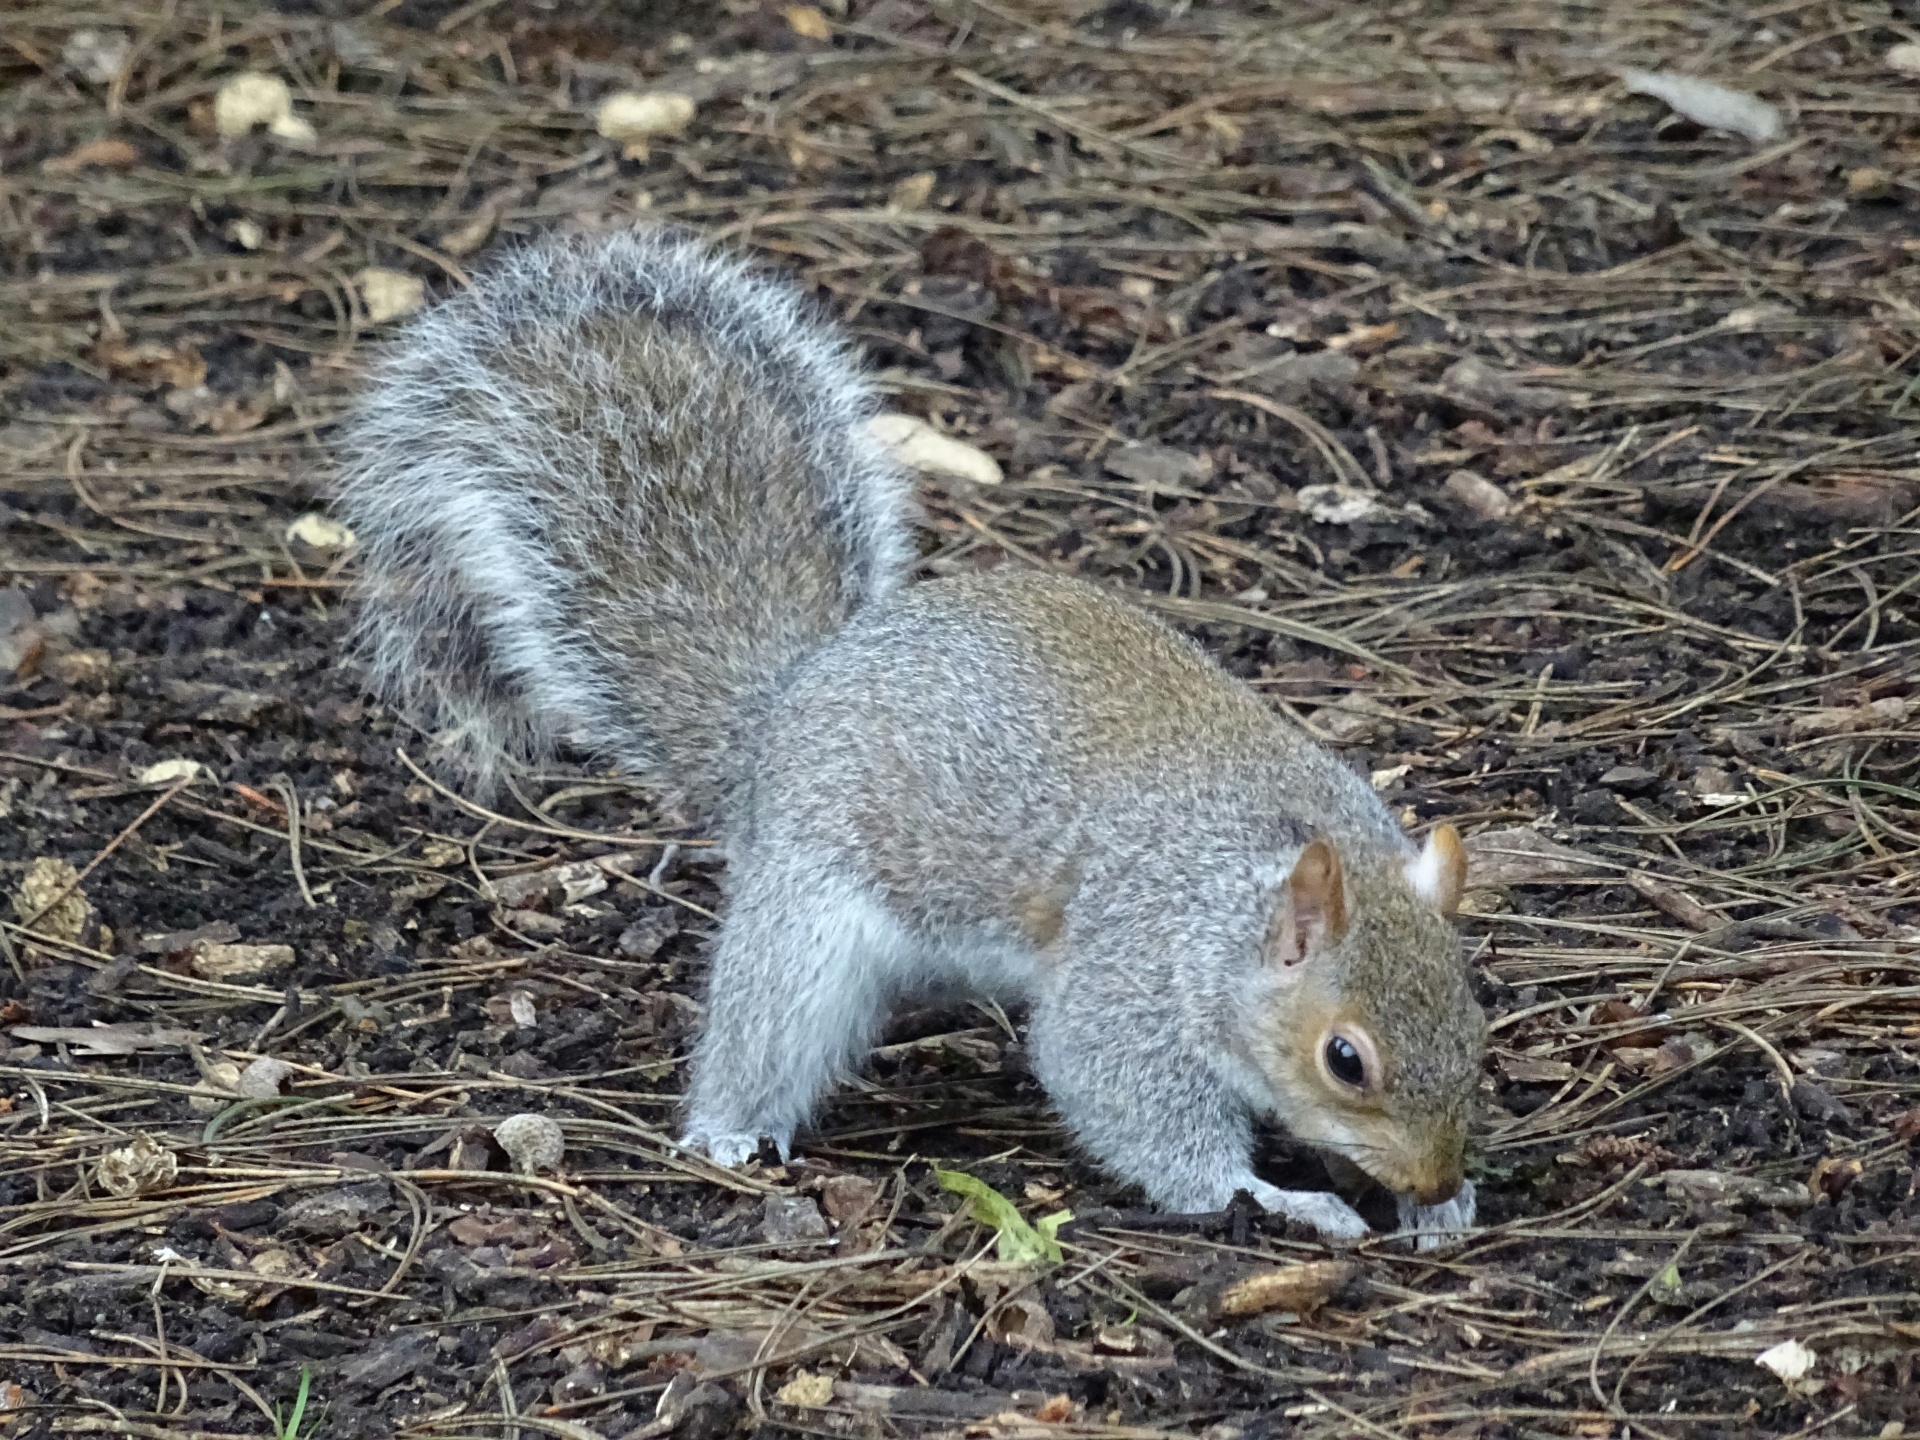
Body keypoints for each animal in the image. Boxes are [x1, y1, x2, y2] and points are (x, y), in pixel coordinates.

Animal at [337, 231, 1489, 1244]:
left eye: (1471, 1016)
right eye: (1346, 1059)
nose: (1439, 1173)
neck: (1248, 891)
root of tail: (787, 703)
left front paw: (1435, 1209)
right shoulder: (1132, 977)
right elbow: (1131, 1105)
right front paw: (1278, 1198)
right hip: (806, 921)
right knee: (767, 1027)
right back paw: (730, 1133)